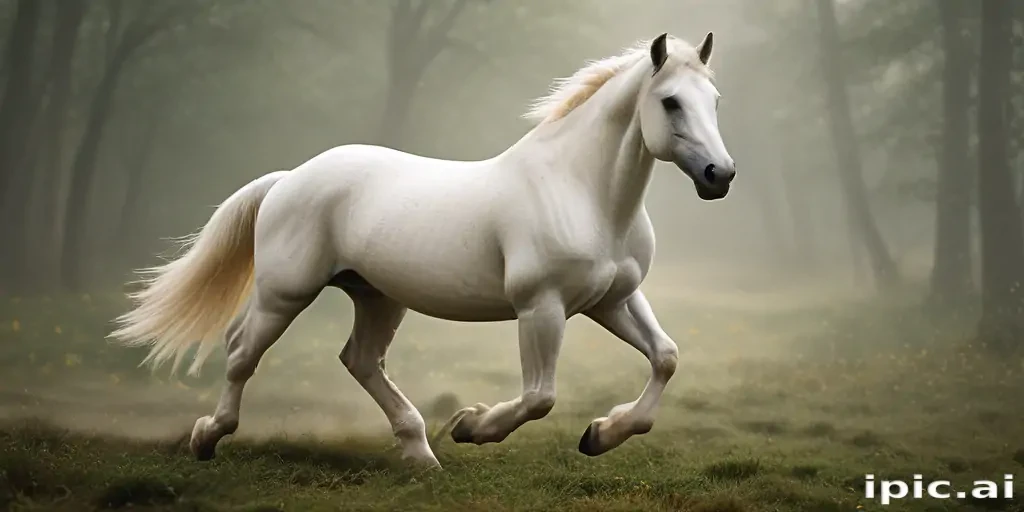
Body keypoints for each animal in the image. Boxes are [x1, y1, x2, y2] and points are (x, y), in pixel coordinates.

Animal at [110, 32, 735, 469]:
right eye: (671, 102)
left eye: (714, 100)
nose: (719, 175)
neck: (582, 191)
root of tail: (289, 179)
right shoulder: (542, 307)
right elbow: (539, 398)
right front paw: (471, 426)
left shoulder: (612, 300)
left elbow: (666, 357)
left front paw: (600, 435)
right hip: (284, 293)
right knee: (242, 353)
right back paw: (206, 437)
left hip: (378, 297)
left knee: (360, 360)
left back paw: (419, 454)